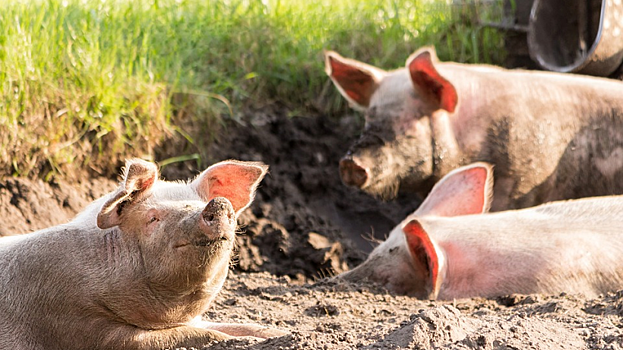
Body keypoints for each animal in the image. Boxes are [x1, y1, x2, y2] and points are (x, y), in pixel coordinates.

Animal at [0, 159, 288, 350]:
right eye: (153, 218)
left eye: (198, 203)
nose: (217, 203)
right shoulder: (77, 323)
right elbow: (193, 335)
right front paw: (244, 341)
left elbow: (238, 326)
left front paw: (281, 333)